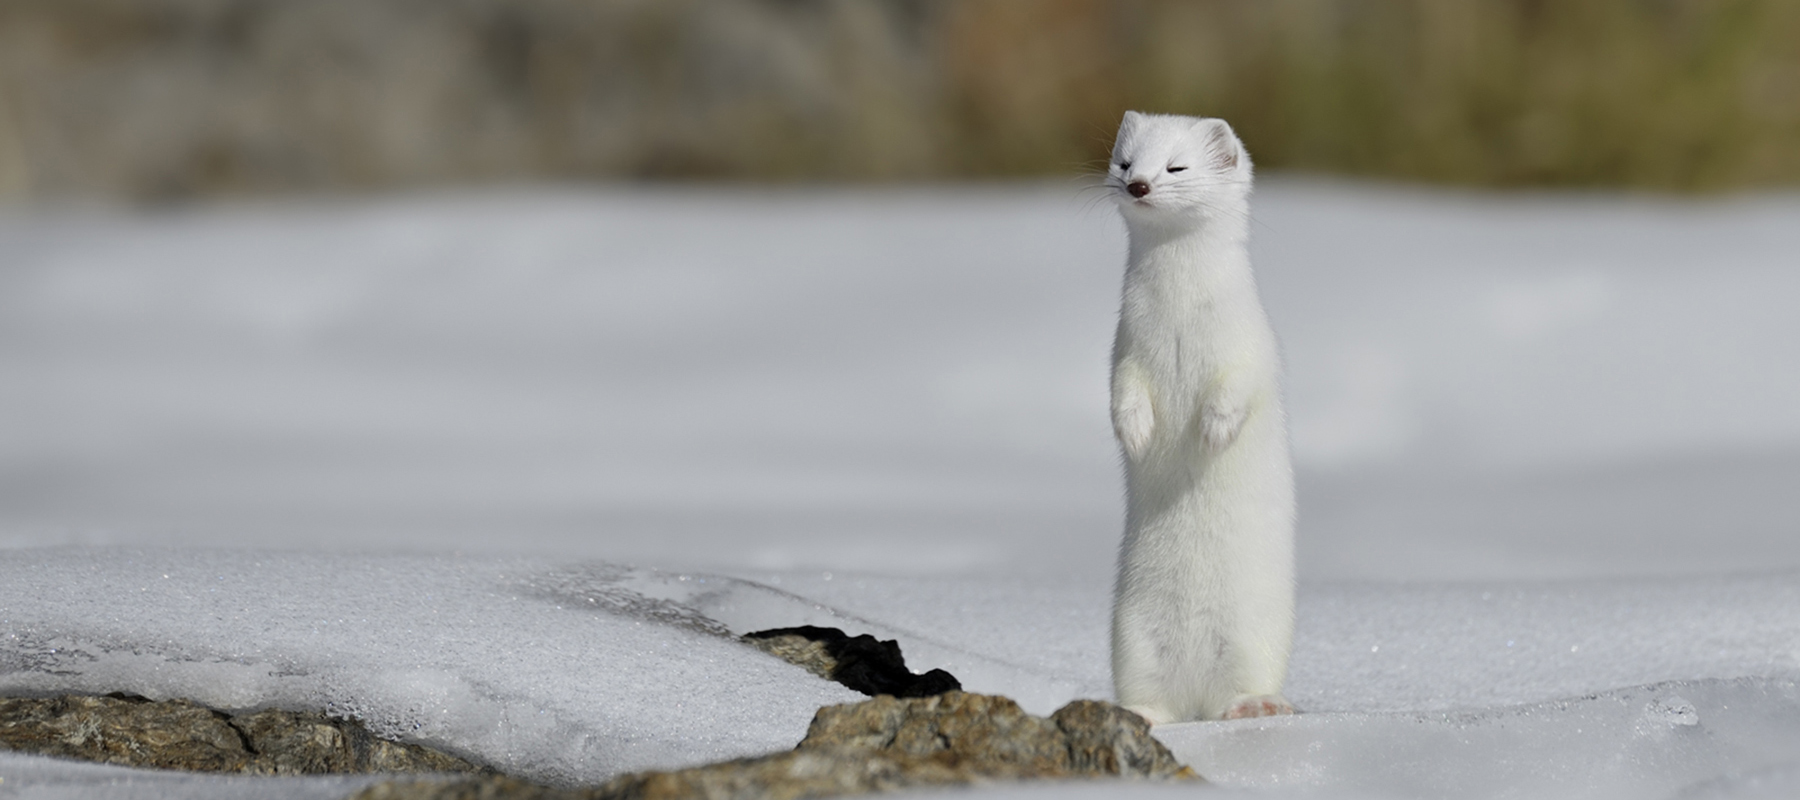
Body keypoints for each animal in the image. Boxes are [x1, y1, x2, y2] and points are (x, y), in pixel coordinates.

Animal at [1101, 112, 1303, 724]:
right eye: (1125, 161)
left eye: (1176, 166)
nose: (1138, 185)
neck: (1177, 322)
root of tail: (1195, 693)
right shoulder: (1124, 350)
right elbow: (1122, 391)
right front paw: (1136, 431)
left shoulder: (1251, 347)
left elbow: (1237, 390)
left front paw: (1212, 431)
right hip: (1131, 636)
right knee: (1149, 694)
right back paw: (1141, 714)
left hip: (1258, 632)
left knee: (1243, 682)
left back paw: (1255, 705)